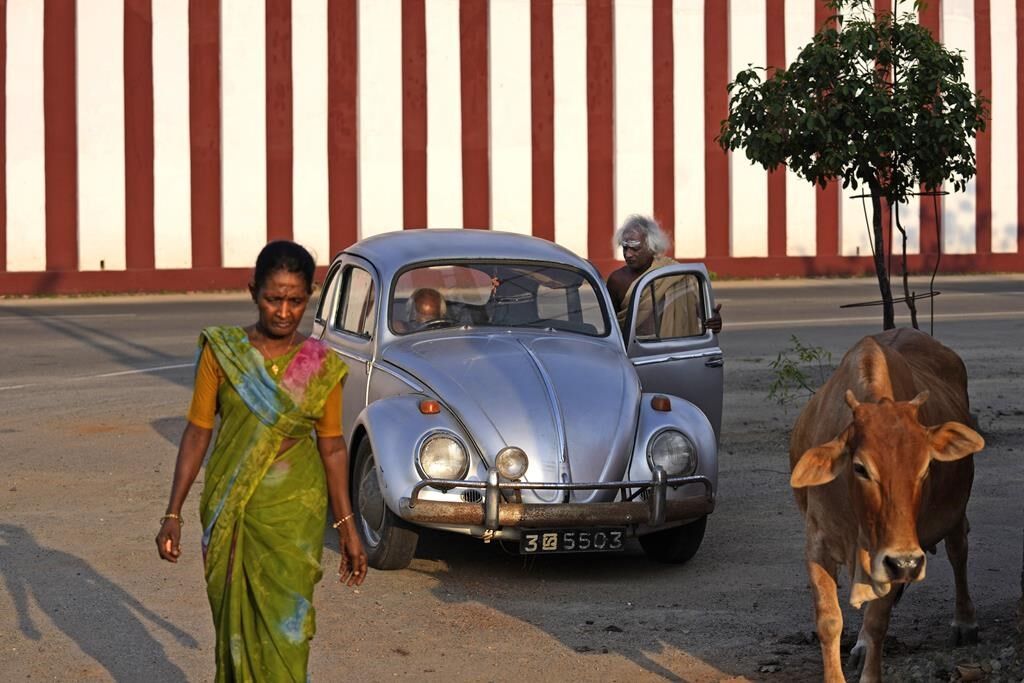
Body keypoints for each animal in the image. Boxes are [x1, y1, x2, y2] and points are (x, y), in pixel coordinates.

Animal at [790, 327, 983, 679]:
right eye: (860, 467)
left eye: (925, 467)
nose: (906, 563)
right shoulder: (817, 543)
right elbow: (829, 620)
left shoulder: (900, 553)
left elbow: (878, 621)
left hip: (954, 513)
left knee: (957, 551)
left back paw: (965, 622)